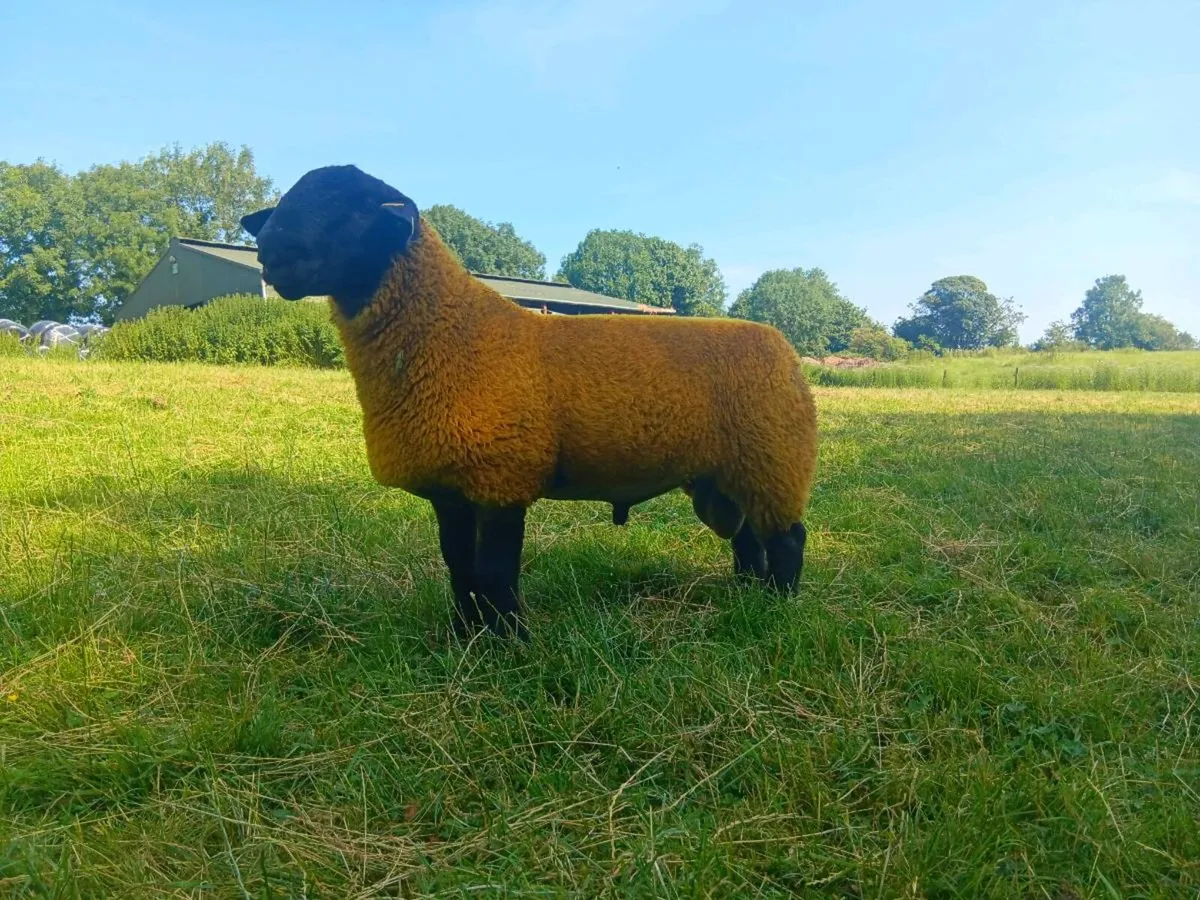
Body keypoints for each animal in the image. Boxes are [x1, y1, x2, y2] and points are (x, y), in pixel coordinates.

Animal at [240, 164, 818, 640]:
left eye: (358, 208)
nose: (271, 252)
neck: (452, 333)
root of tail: (783, 347)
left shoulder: (501, 475)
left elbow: (496, 570)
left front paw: (511, 641)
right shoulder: (451, 488)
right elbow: (459, 567)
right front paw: (465, 635)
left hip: (773, 456)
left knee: (788, 538)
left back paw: (777, 608)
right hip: (729, 472)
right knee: (749, 539)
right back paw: (744, 596)